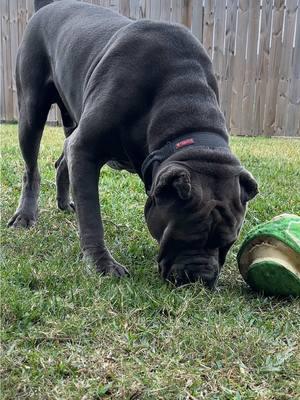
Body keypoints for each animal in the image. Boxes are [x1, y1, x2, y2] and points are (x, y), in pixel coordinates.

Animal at [8, 0, 258, 288]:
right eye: (180, 236)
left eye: (228, 244)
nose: (200, 279)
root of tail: (47, 6)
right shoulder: (85, 148)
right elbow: (91, 214)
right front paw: (101, 264)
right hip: (31, 111)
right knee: (31, 169)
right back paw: (25, 215)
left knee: (62, 160)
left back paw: (64, 203)